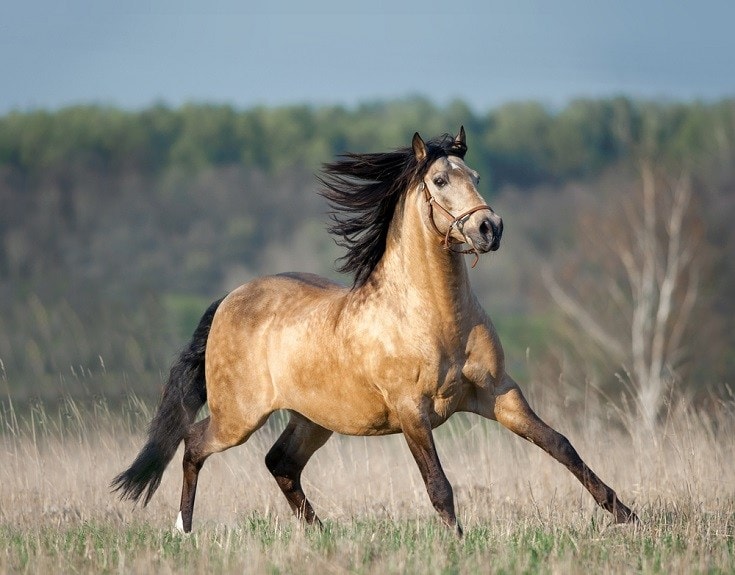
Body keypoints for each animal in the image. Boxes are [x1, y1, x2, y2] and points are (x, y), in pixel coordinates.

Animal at [110, 127, 640, 536]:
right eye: (440, 179)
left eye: (476, 177)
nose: (490, 228)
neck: (435, 319)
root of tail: (230, 299)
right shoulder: (411, 412)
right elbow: (439, 485)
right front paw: (458, 543)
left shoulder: (498, 394)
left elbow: (561, 445)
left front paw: (628, 517)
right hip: (238, 417)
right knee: (194, 444)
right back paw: (184, 530)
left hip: (313, 419)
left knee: (280, 463)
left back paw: (321, 535)